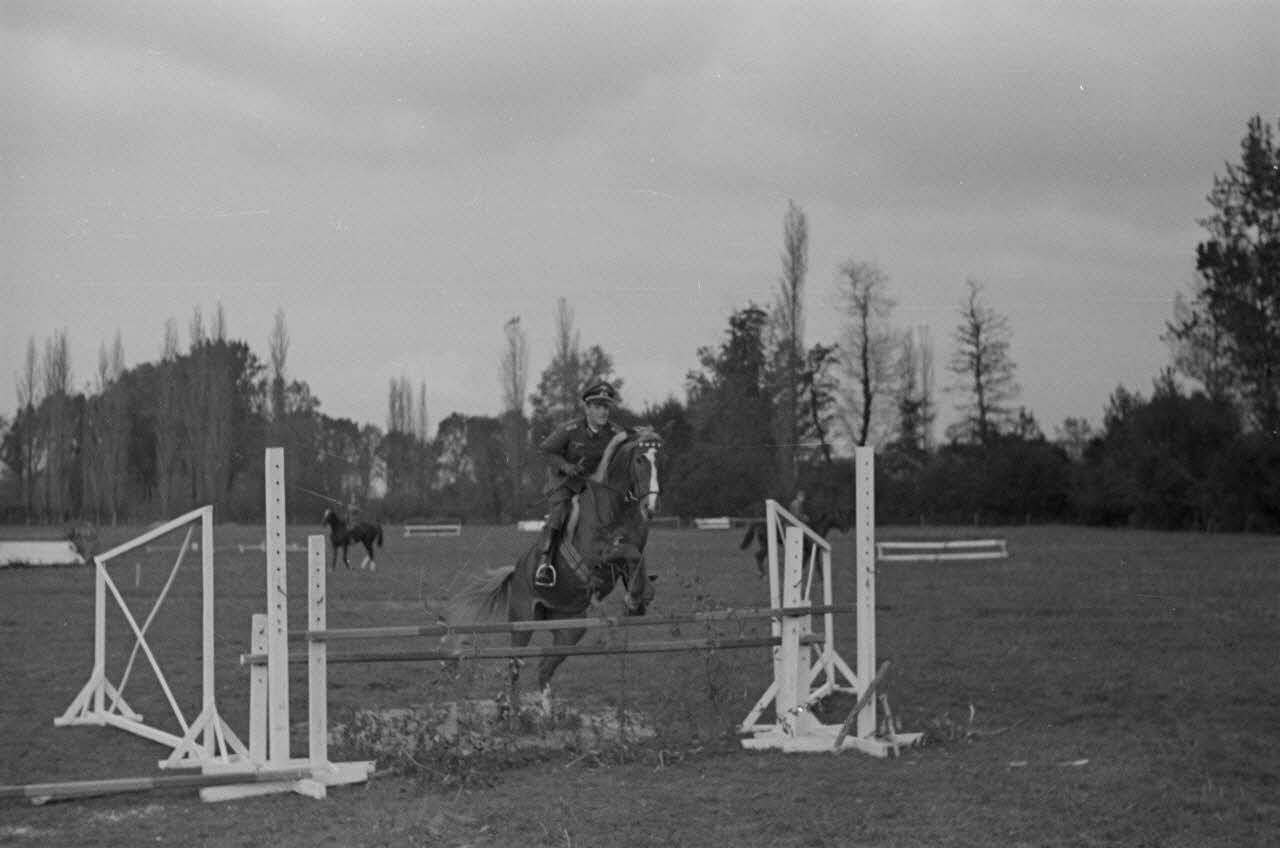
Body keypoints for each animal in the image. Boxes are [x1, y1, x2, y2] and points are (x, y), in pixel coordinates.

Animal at [450, 427, 663, 713]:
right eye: (640, 459)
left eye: (660, 459)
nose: (651, 507)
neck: (618, 507)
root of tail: (516, 571)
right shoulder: (595, 555)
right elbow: (628, 552)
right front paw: (635, 598)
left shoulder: (633, 550)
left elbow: (637, 559)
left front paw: (638, 599)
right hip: (523, 622)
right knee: (514, 664)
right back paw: (510, 708)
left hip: (570, 628)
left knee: (544, 667)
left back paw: (547, 713)